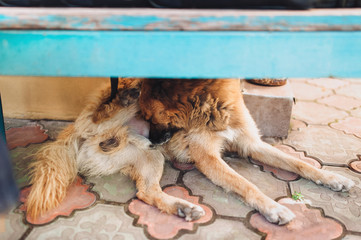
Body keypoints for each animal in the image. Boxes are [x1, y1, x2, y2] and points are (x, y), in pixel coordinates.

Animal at [28, 77, 354, 225]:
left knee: (146, 192)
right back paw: (124, 98)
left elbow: (299, 163)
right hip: (109, 121)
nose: (155, 137)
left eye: (153, 116)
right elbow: (245, 183)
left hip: (150, 157)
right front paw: (273, 207)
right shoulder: (208, 158)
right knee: (99, 116)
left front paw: (333, 178)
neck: (212, 107)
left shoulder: (252, 143)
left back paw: (181, 207)